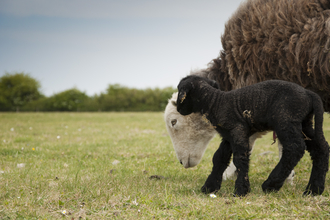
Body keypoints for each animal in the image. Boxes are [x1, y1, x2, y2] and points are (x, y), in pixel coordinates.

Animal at [177, 75, 328, 196]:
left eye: (179, 90)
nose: (178, 109)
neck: (215, 102)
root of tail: (309, 94)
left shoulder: (238, 129)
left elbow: (239, 158)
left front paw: (241, 191)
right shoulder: (229, 136)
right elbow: (219, 158)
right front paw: (209, 187)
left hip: (286, 120)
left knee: (295, 148)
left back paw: (271, 185)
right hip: (304, 123)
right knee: (321, 149)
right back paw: (314, 190)